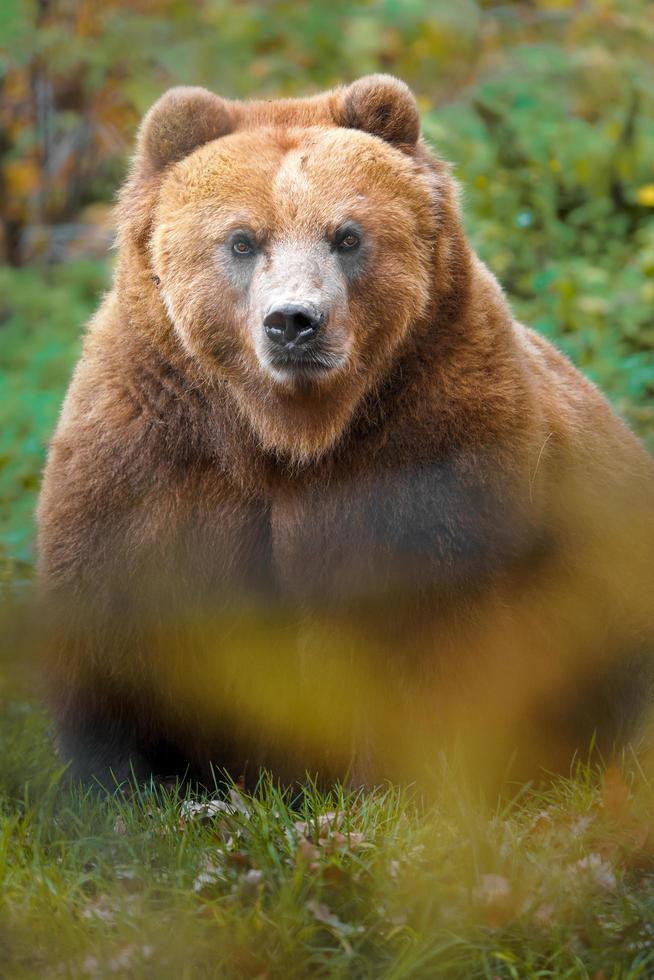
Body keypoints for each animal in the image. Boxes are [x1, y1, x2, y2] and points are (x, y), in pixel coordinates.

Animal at [37, 78, 654, 796]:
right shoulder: (152, 459)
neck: (289, 435)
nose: (295, 321)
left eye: (347, 235)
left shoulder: (433, 447)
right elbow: (119, 630)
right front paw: (130, 781)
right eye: (242, 240)